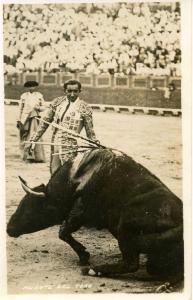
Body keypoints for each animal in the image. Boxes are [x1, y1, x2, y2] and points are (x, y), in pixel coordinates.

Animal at [6, 149, 183, 280]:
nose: (9, 228)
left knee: (131, 264)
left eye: (30, 207)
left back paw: (93, 270)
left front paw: (84, 257)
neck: (74, 179)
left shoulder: (79, 212)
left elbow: (63, 232)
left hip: (125, 225)